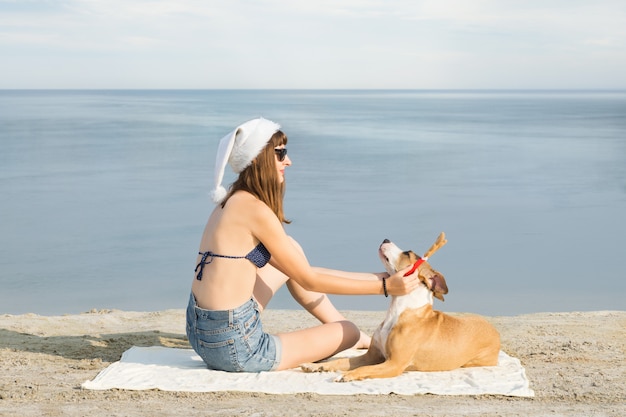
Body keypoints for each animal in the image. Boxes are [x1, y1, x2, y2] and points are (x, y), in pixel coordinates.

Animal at [300, 232, 500, 382]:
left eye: (408, 253)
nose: (385, 239)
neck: (399, 309)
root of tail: (494, 331)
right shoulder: (371, 356)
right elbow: (341, 361)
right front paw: (316, 366)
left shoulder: (394, 364)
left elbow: (364, 369)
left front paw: (347, 375)